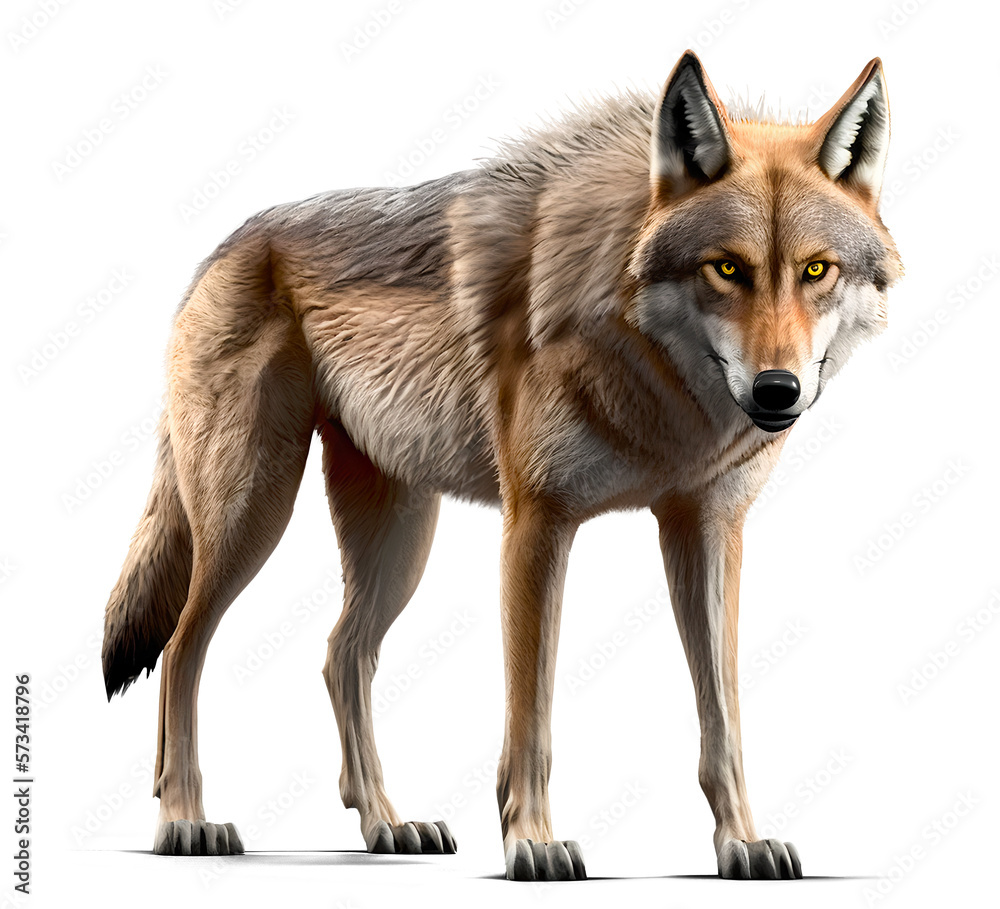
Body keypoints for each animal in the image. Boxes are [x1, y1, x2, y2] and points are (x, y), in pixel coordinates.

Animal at [102, 51, 901, 880]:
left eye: (817, 270)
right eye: (727, 268)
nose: (778, 389)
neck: (648, 371)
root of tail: (219, 251)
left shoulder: (708, 526)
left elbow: (724, 716)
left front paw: (741, 840)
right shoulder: (537, 525)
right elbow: (532, 716)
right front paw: (534, 841)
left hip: (399, 541)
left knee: (340, 653)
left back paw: (388, 824)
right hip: (254, 514)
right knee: (181, 648)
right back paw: (185, 819)